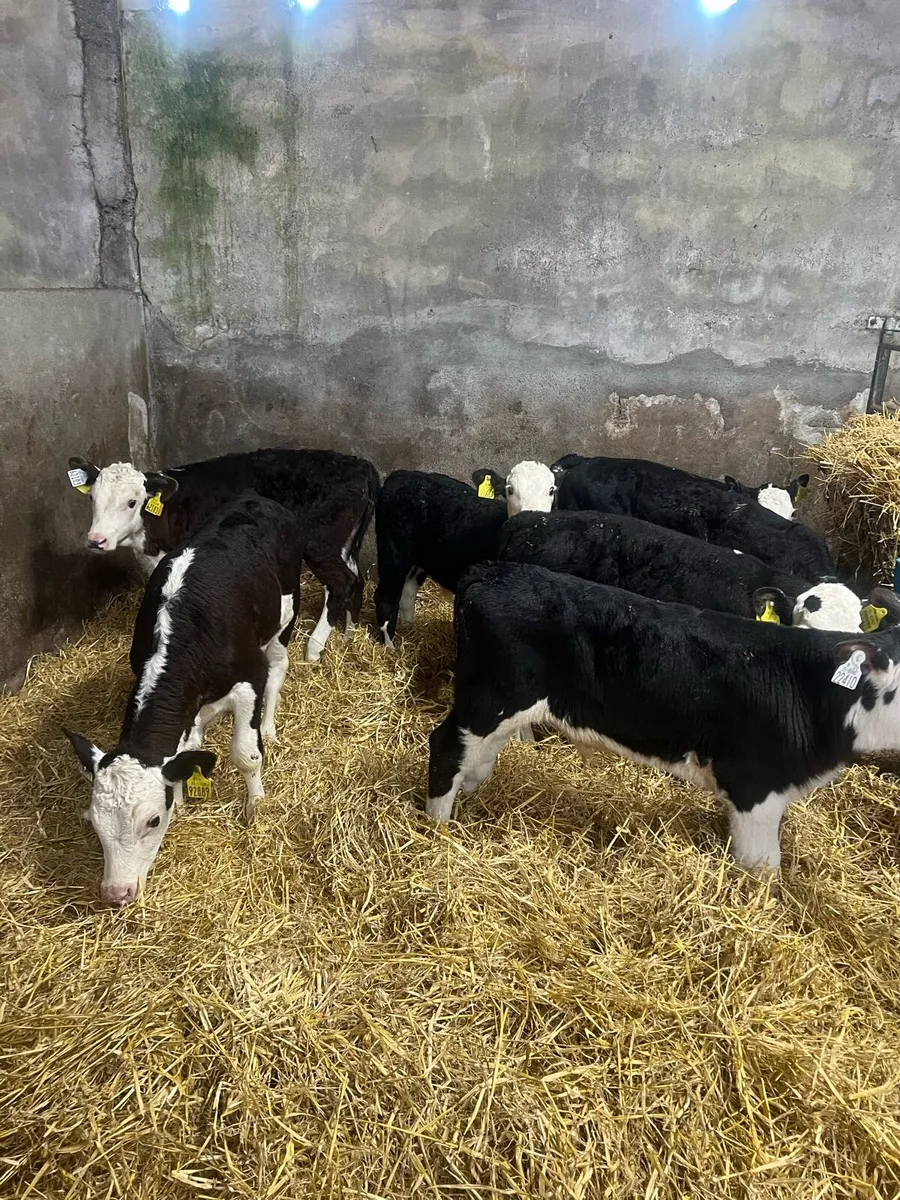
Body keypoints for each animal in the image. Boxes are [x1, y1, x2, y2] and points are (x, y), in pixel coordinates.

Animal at [64, 494, 305, 908]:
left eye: (153, 820)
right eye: (94, 821)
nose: (116, 893)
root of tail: (256, 498)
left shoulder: (250, 678)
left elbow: (246, 754)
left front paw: (255, 804)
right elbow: (187, 747)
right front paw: (182, 796)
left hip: (285, 613)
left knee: (279, 664)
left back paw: (270, 726)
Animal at [67, 447, 379, 662]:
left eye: (132, 502)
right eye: (92, 498)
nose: (96, 540)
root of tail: (359, 463)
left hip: (319, 543)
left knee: (342, 583)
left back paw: (313, 648)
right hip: (342, 543)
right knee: (355, 579)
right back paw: (349, 634)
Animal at [373, 462, 556, 645]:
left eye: (551, 490)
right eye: (510, 490)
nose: (532, 519)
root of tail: (402, 474)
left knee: (407, 594)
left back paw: (409, 630)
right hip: (393, 550)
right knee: (386, 597)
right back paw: (390, 646)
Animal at [426, 561, 900, 874]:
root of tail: (490, 572)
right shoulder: (754, 787)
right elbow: (762, 867)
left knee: (478, 758)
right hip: (489, 698)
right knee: (446, 747)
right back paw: (438, 829)